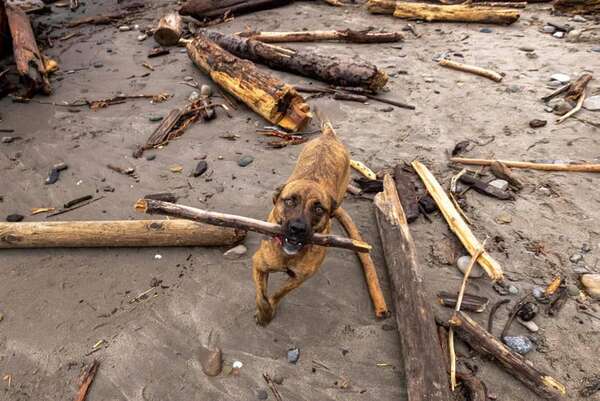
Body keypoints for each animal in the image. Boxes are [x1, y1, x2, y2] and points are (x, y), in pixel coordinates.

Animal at [251, 120, 350, 324]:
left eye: (319, 209)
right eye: (290, 201)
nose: (297, 229)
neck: (289, 254)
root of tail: (328, 136)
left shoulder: (299, 278)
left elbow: (279, 293)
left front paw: (270, 309)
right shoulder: (258, 264)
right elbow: (262, 296)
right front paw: (264, 314)